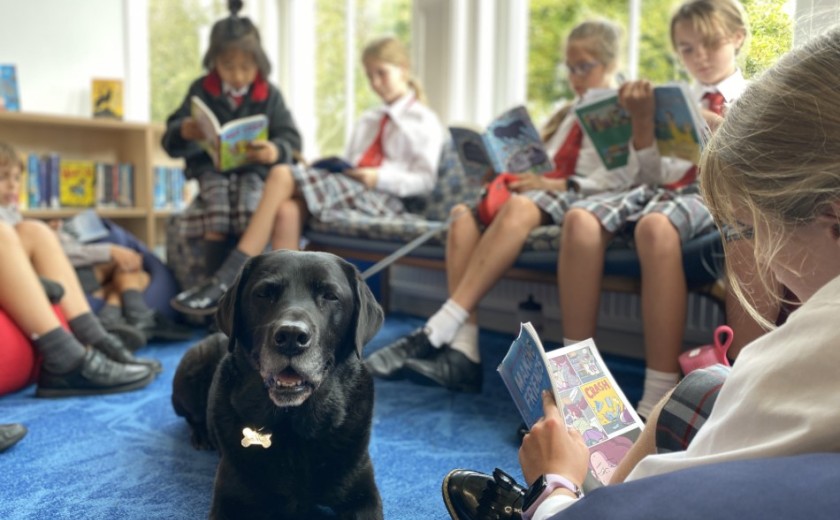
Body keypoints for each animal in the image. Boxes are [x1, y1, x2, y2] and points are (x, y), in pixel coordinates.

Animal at [171, 250, 388, 516]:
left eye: (330, 295)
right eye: (264, 293)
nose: (292, 337)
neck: (293, 425)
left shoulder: (363, 495)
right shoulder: (230, 498)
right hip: (191, 369)